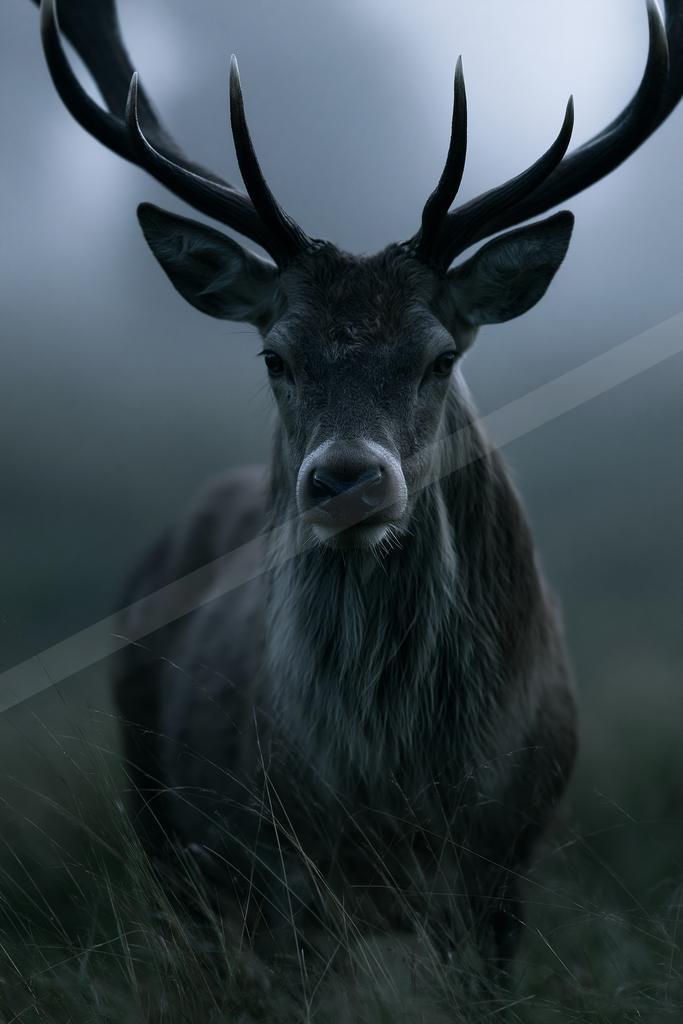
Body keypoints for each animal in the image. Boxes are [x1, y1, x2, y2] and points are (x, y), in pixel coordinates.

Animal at [31, 0, 682, 972]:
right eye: (275, 355)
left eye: (439, 356)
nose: (345, 478)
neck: (394, 797)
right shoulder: (278, 870)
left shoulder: (505, 864)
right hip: (160, 817)